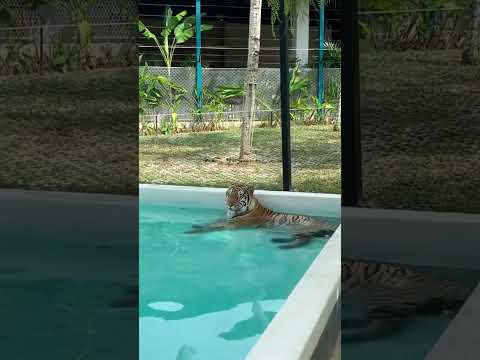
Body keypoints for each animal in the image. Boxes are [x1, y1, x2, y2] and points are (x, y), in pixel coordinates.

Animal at [184, 184, 338, 249]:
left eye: (238, 196)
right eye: (229, 194)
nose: (229, 204)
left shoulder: (234, 224)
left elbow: (213, 228)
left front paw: (192, 231)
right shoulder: (227, 218)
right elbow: (213, 222)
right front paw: (197, 224)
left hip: (302, 229)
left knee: (303, 240)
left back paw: (280, 245)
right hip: (299, 231)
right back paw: (277, 241)